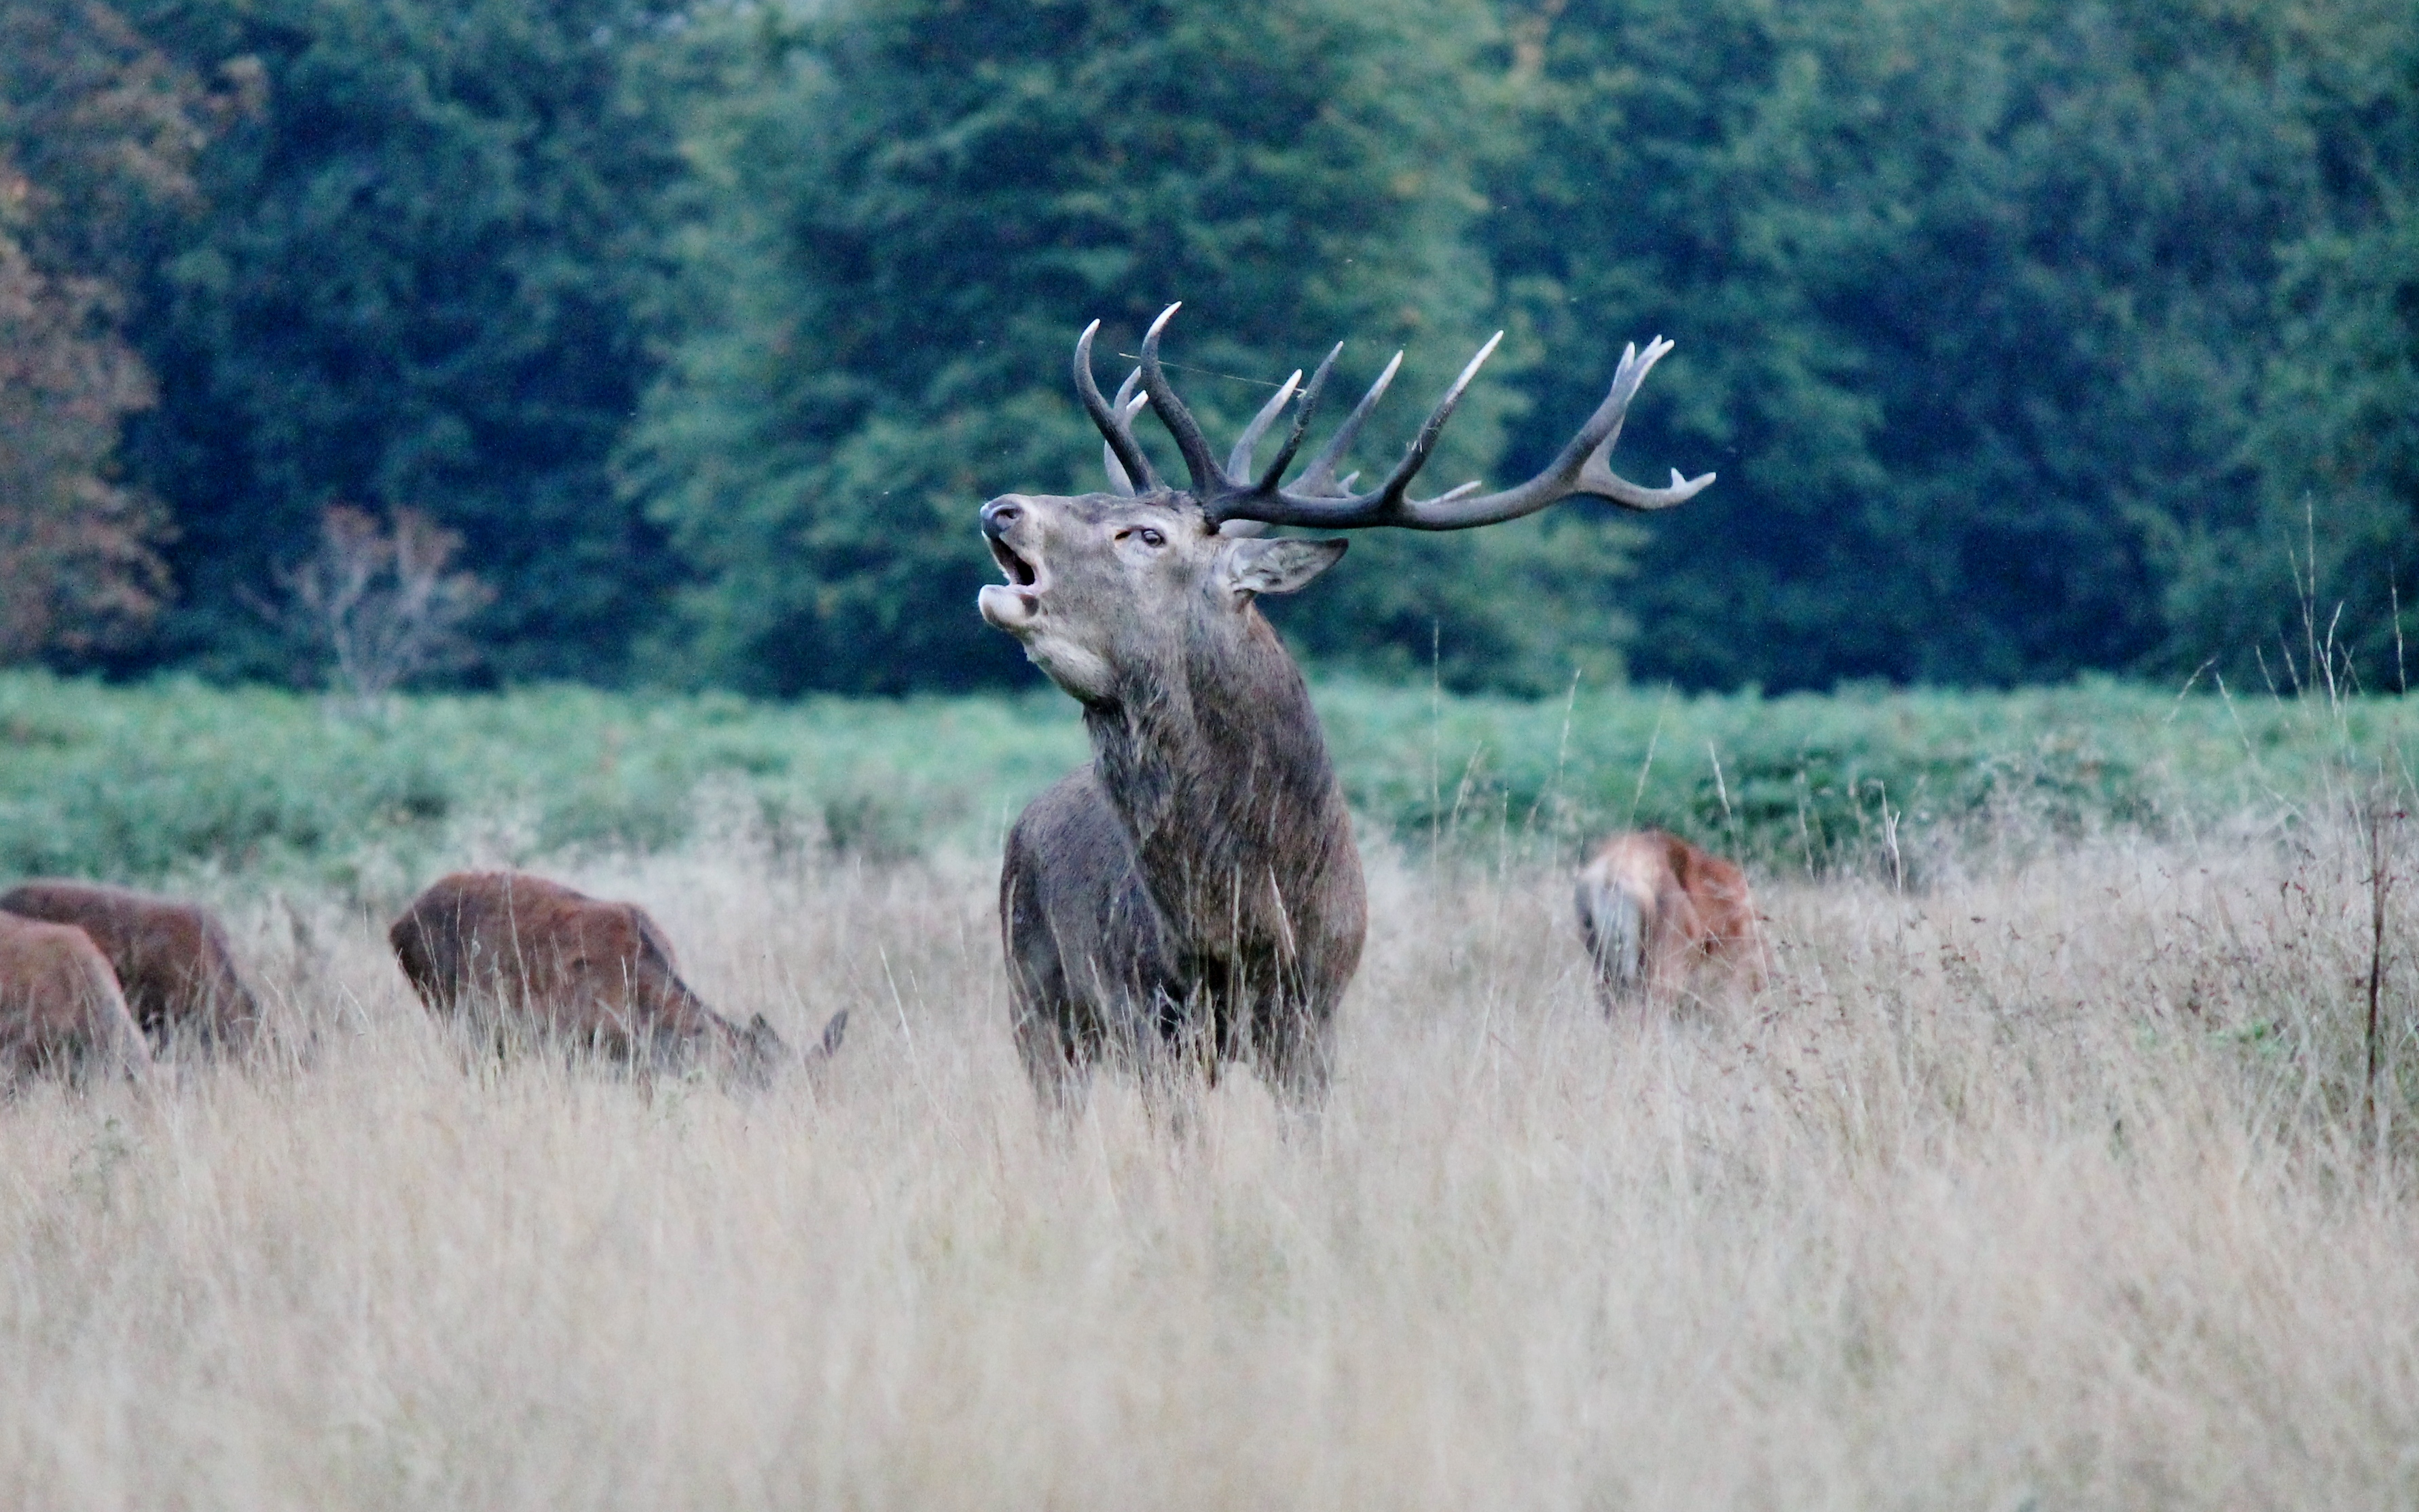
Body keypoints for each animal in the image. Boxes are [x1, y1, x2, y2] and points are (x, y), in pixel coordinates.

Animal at [972, 303, 1712, 1107]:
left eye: (1145, 533)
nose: (1001, 508)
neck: (1238, 918)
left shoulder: (1315, 1014)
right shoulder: (1147, 1015)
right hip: (1034, 1000)